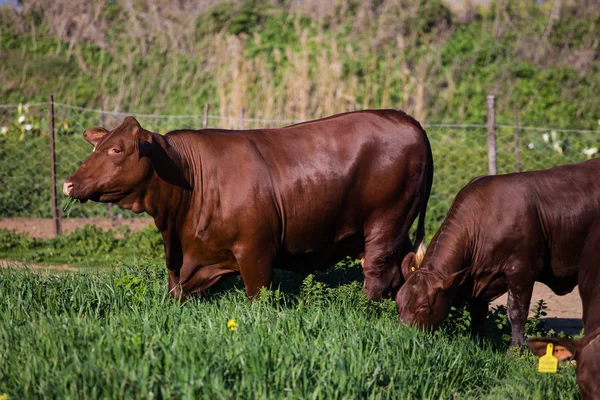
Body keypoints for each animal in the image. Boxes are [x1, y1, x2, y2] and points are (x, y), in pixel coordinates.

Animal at [64, 109, 432, 300]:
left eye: (116, 149)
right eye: (97, 147)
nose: (68, 183)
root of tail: (406, 119)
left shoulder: (256, 251)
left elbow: (258, 297)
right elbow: (175, 294)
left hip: (385, 224)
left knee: (378, 273)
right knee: (402, 269)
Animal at [394, 159, 600, 346]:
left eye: (424, 306)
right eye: (398, 301)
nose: (404, 335)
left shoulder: (522, 270)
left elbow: (516, 312)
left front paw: (515, 350)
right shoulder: (476, 281)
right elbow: (477, 314)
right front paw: (476, 343)